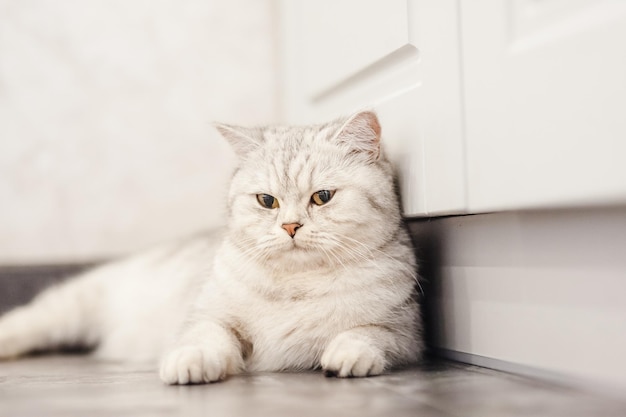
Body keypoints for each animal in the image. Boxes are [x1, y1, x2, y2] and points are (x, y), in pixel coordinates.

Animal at [0, 110, 422, 384]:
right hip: (73, 305)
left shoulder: (406, 334)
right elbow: (208, 336)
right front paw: (192, 363)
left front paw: (346, 354)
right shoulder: (208, 315)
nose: (290, 226)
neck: (295, 284)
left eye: (322, 197)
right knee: (25, 321)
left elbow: (367, 334)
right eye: (266, 201)